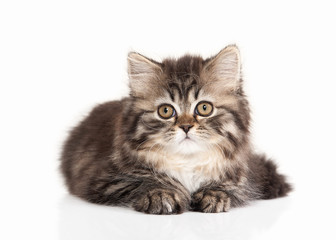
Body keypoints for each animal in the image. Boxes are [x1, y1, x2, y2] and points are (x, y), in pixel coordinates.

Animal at [60, 44, 292, 214]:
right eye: (165, 111)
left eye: (204, 108)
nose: (186, 126)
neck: (187, 163)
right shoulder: (104, 179)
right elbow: (143, 182)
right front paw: (164, 194)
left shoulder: (243, 178)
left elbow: (229, 188)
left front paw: (214, 195)